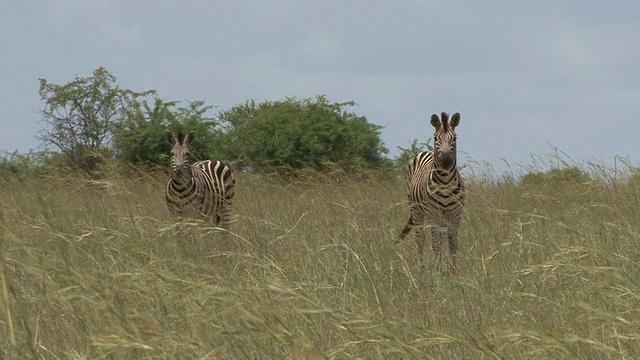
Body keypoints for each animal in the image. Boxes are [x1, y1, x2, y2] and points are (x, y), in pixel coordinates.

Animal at [398, 112, 462, 272]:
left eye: (455, 138)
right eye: (435, 138)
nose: (445, 161)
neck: (445, 183)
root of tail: (426, 151)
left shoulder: (456, 214)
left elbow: (453, 243)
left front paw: (453, 271)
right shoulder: (434, 214)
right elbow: (436, 243)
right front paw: (438, 270)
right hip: (417, 211)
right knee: (420, 238)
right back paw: (420, 269)